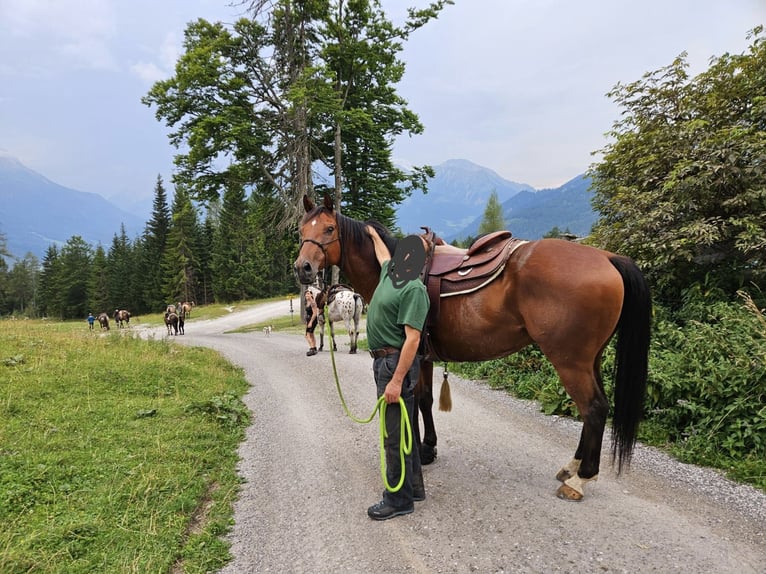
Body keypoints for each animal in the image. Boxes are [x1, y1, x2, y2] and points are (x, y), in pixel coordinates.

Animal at [294, 196, 656, 502]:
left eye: (329, 229)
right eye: (301, 229)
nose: (303, 268)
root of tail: (606, 256)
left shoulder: (414, 352)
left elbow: (416, 402)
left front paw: (421, 452)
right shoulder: (424, 355)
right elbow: (425, 400)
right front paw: (428, 448)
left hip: (570, 362)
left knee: (593, 408)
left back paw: (581, 479)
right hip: (590, 358)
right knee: (595, 409)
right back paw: (573, 466)